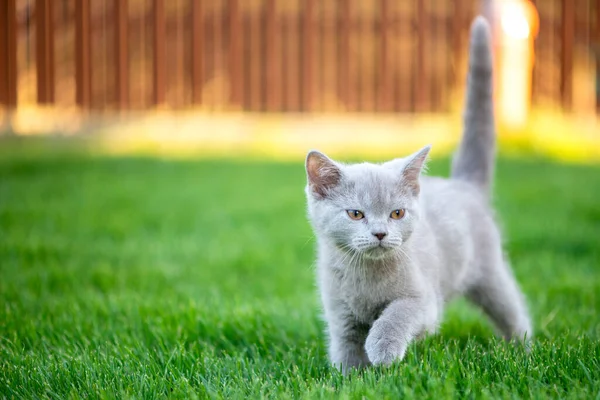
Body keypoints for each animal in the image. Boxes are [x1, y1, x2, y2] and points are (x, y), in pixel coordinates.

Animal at [304, 14, 528, 372]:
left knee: (513, 310)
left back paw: (524, 351)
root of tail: (462, 184)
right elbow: (346, 348)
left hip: (490, 272)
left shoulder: (424, 302)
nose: (380, 233)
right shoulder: (340, 315)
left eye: (397, 213)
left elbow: (396, 313)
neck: (365, 277)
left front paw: (382, 350)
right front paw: (349, 376)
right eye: (355, 213)